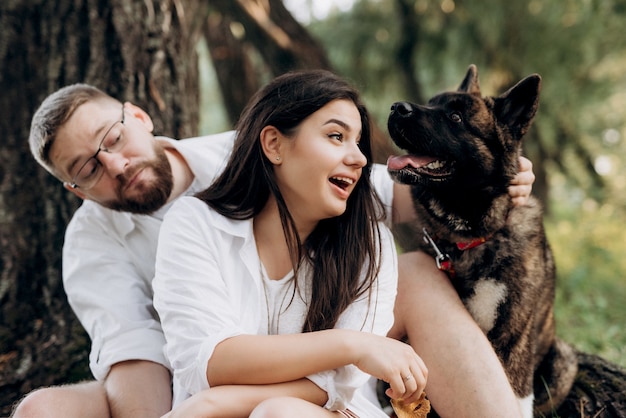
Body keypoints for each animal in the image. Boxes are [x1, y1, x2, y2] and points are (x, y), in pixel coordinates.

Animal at [386, 63, 576, 416]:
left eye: (456, 118)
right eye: (431, 103)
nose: (395, 107)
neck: (467, 238)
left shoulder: (514, 338)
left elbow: (516, 396)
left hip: (563, 361)